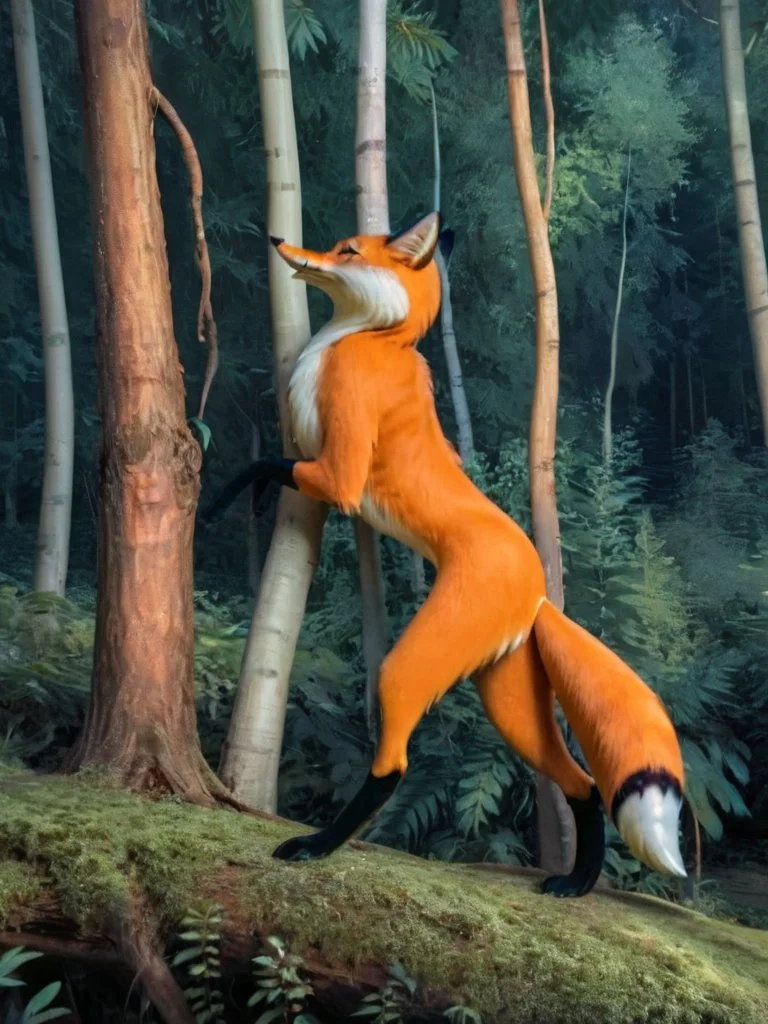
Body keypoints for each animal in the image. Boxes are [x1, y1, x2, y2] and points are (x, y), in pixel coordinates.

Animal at [203, 211, 687, 897]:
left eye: (346, 250)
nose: (278, 243)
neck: (377, 341)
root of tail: (541, 592)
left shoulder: (341, 473)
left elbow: (270, 463)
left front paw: (224, 499)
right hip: (506, 697)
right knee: (584, 784)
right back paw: (575, 883)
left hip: (410, 665)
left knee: (394, 765)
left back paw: (317, 846)